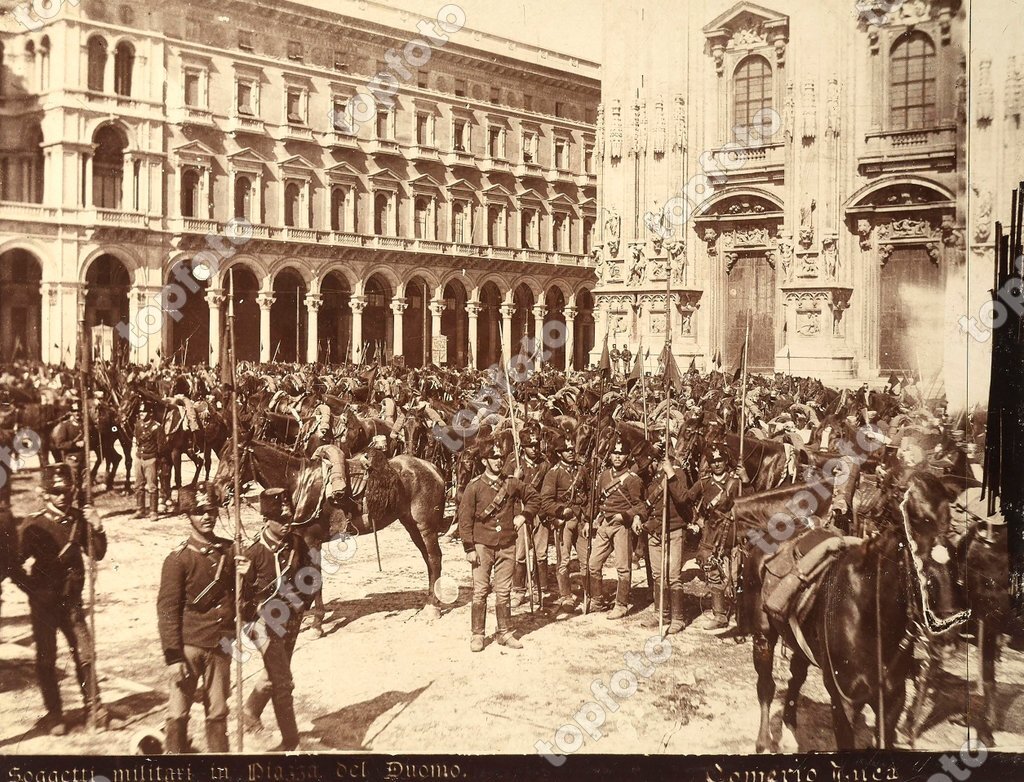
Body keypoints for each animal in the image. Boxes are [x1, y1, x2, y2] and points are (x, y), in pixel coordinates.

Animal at [209, 436, 446, 630]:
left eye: (232, 458)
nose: (217, 492)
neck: (298, 483)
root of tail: (431, 467)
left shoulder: (312, 540)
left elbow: (314, 579)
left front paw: (317, 623)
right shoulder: (302, 542)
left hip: (425, 526)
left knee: (434, 558)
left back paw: (433, 607)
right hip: (411, 525)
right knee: (428, 559)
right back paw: (430, 600)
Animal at [745, 470, 966, 753]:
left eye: (956, 563)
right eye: (921, 567)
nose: (947, 637)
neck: (870, 620)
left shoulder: (893, 700)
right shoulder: (844, 701)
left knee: (796, 678)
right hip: (763, 635)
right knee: (766, 685)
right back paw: (764, 742)